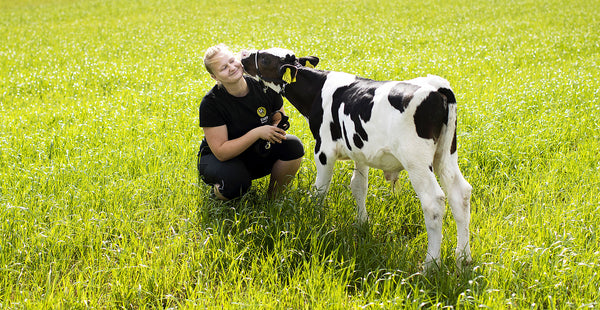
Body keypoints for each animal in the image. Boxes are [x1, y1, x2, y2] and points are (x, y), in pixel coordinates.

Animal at [241, 48, 472, 268]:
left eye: (265, 59)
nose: (243, 57)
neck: (317, 92)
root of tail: (437, 87)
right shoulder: (359, 151)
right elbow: (359, 186)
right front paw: (362, 223)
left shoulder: (323, 150)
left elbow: (320, 189)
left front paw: (314, 219)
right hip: (446, 154)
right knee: (460, 193)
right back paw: (463, 259)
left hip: (417, 161)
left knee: (433, 201)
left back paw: (431, 265)